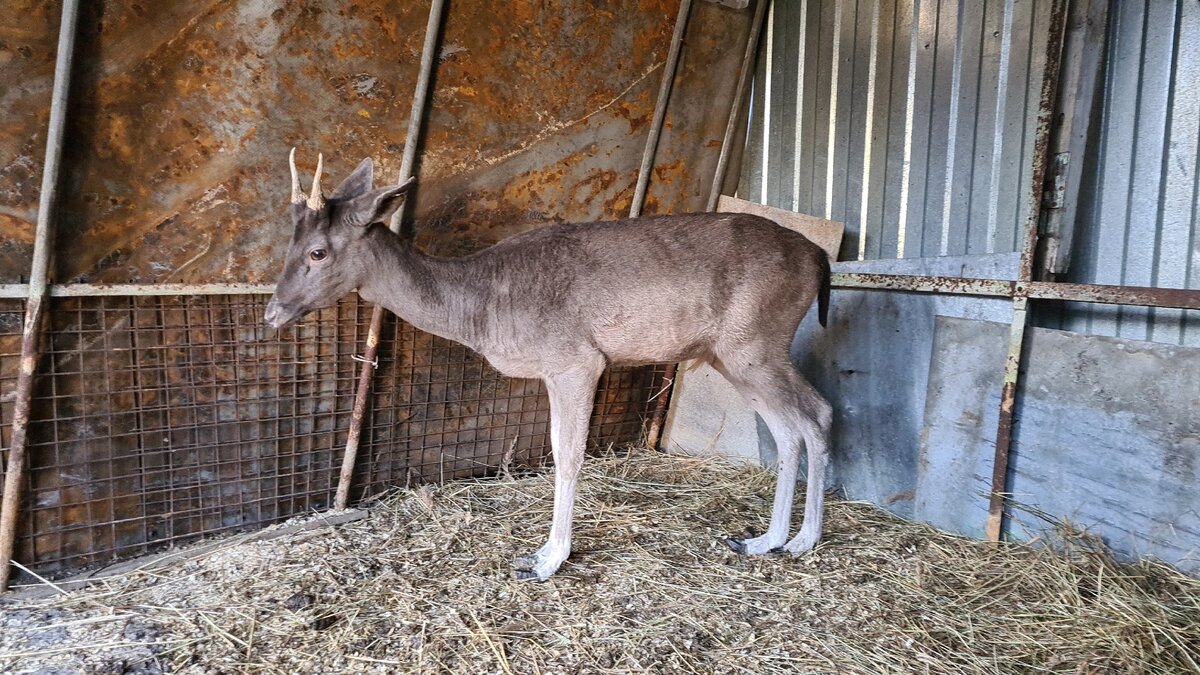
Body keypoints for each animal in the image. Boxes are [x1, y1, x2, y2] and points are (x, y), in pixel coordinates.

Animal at [267, 151, 835, 578]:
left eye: (317, 252)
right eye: (289, 243)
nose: (273, 312)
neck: (483, 312)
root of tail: (821, 260)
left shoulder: (576, 360)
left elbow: (567, 455)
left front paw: (547, 559)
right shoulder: (553, 369)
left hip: (757, 341)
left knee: (817, 412)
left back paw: (803, 540)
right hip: (728, 354)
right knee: (788, 426)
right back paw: (764, 540)